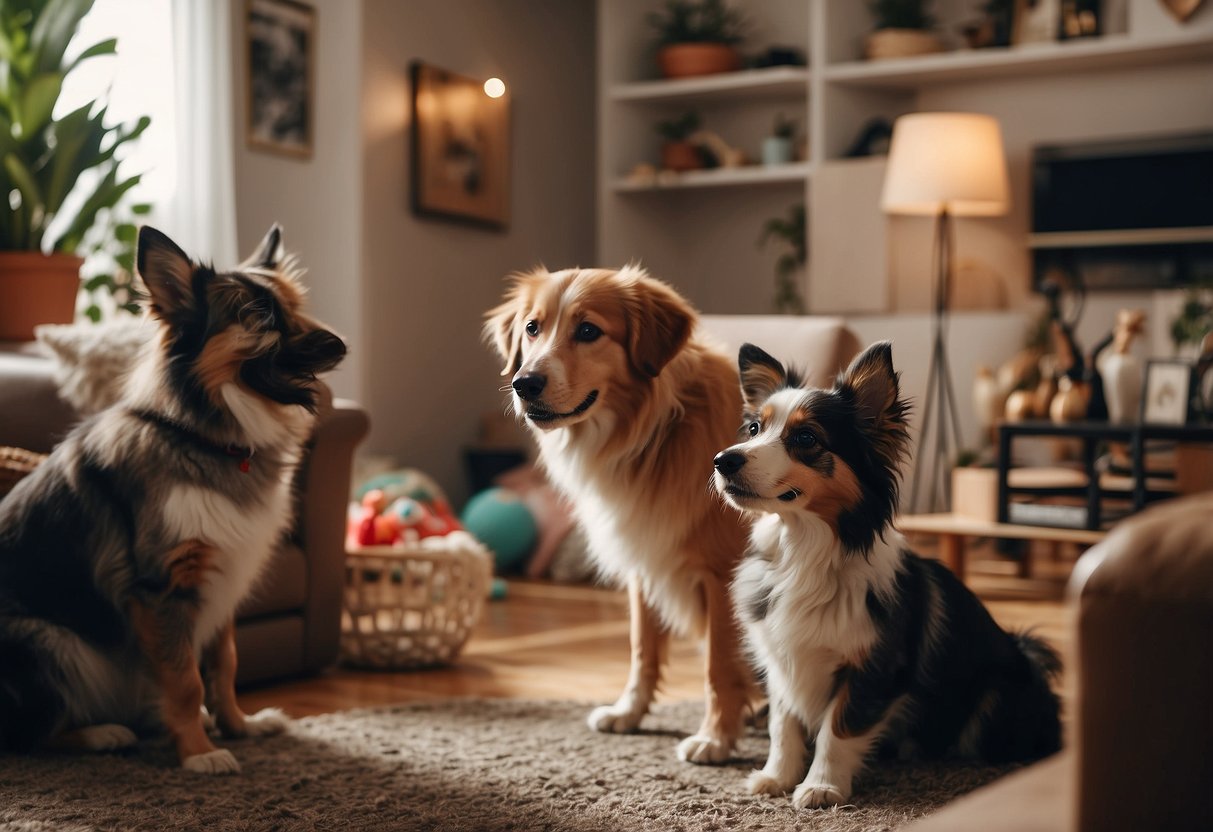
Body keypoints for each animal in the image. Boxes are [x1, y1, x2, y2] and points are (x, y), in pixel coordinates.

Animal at [713, 342, 1057, 810]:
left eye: (806, 439)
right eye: (753, 428)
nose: (722, 461)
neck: (803, 553)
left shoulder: (873, 666)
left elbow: (837, 729)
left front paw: (821, 787)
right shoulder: (782, 659)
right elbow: (782, 725)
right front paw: (776, 777)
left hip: (998, 694)